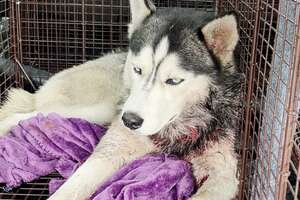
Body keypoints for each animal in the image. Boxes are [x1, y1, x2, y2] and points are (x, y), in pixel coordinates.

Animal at [0, 0, 241, 199]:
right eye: (138, 69)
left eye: (174, 81)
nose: (130, 121)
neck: (175, 128)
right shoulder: (113, 147)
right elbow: (72, 187)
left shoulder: (224, 174)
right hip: (103, 108)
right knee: (26, 114)